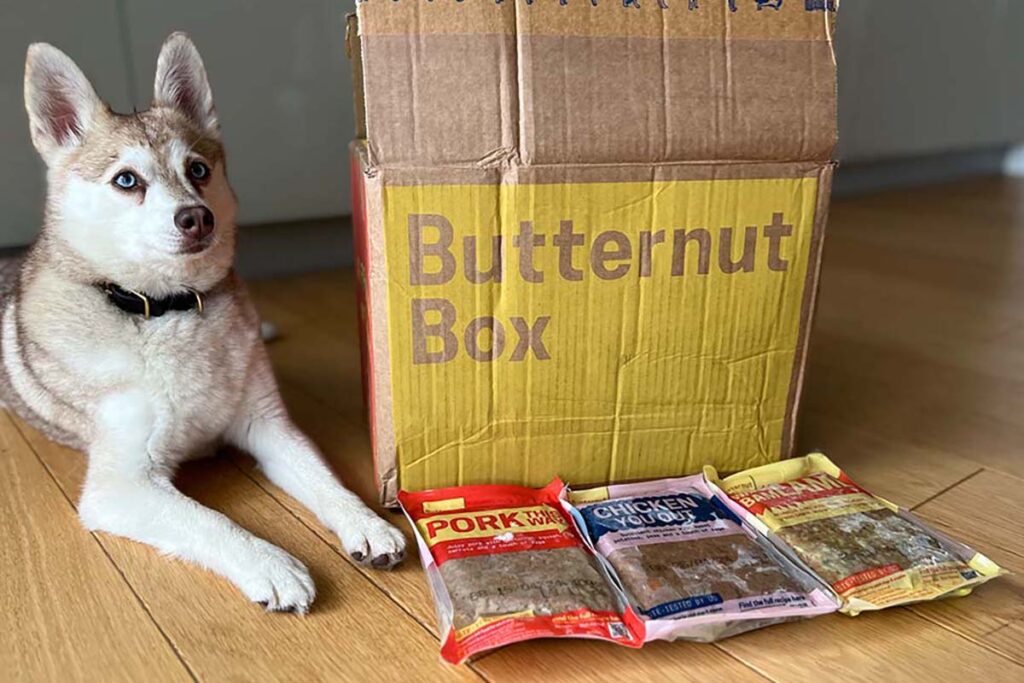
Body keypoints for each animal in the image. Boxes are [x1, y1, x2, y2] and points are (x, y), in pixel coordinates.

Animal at [3, 31, 403, 614]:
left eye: (197, 170)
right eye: (127, 180)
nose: (196, 217)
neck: (168, 308)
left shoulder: (268, 424)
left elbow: (325, 480)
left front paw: (365, 522)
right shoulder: (123, 485)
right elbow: (210, 521)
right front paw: (271, 564)